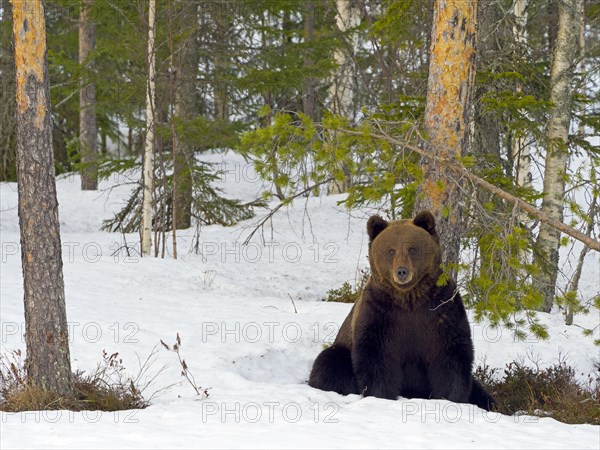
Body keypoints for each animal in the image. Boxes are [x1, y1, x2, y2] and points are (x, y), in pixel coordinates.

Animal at [308, 211, 494, 412]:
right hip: (342, 349)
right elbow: (376, 356)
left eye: (412, 248)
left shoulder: (443, 310)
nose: (402, 271)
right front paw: (381, 395)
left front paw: (451, 398)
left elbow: (452, 356)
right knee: (329, 364)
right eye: (390, 250)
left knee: (482, 392)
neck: (409, 299)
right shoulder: (379, 313)